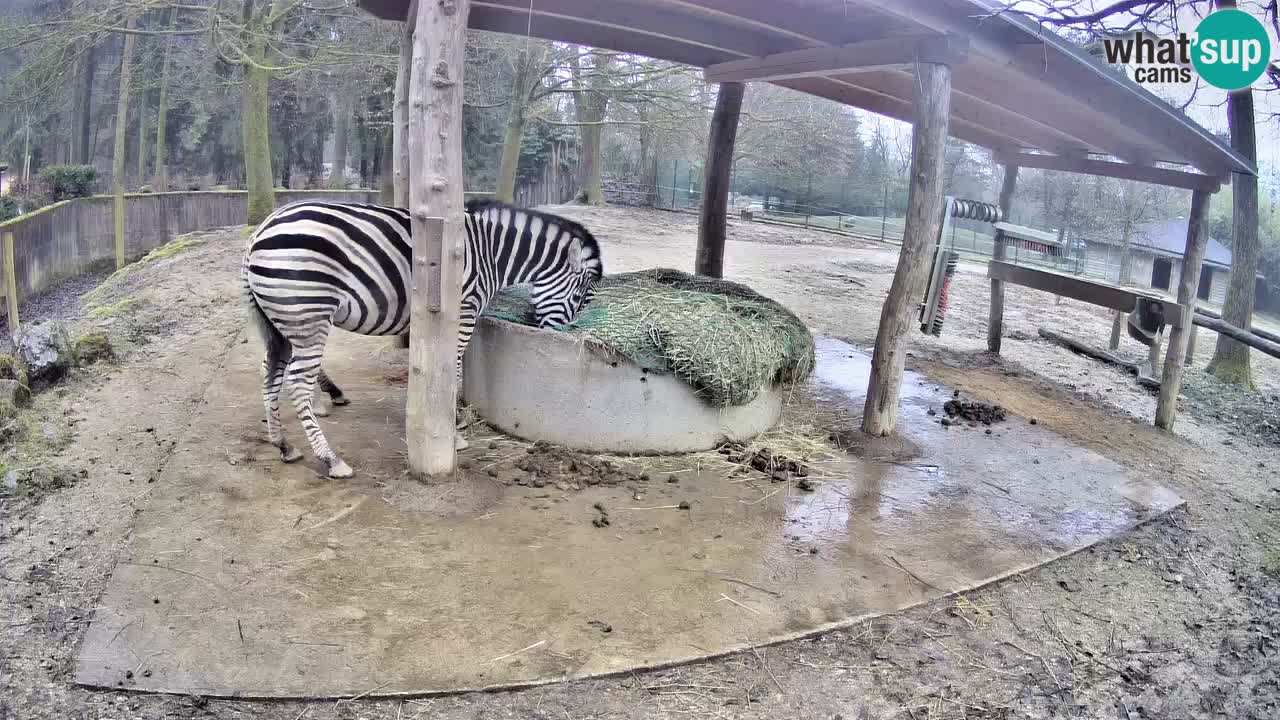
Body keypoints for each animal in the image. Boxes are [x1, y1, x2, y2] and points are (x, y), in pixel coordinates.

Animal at [242, 198, 603, 478]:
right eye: (578, 298)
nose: (557, 337)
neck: (491, 254)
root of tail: (260, 231)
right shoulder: (463, 313)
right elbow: (454, 370)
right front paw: (455, 431)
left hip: (278, 322)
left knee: (269, 372)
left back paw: (283, 445)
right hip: (308, 314)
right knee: (296, 382)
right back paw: (331, 459)